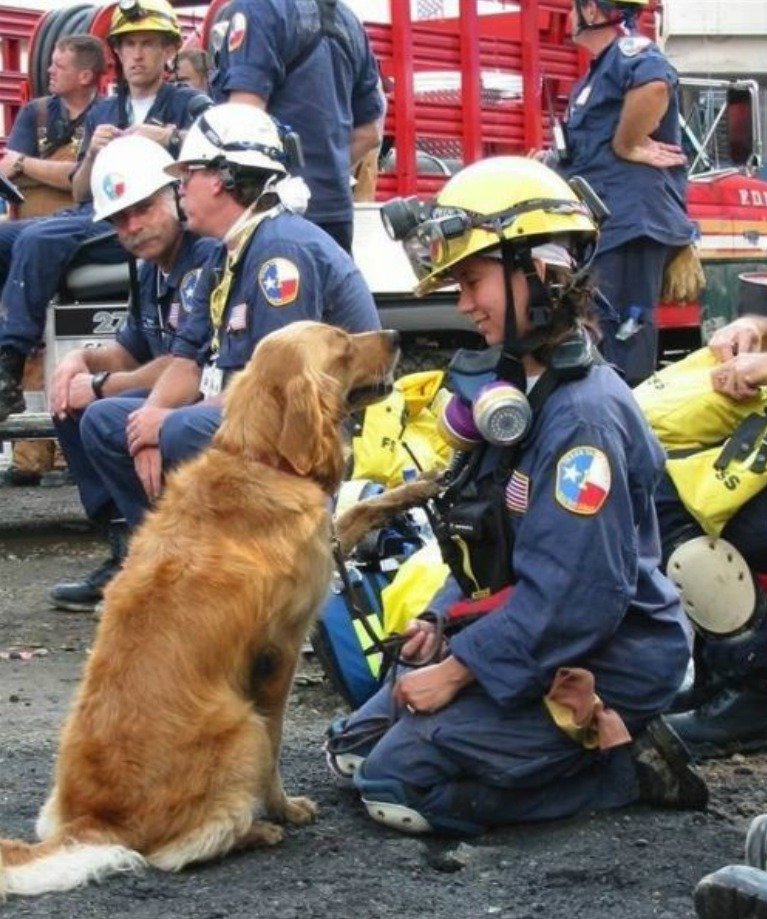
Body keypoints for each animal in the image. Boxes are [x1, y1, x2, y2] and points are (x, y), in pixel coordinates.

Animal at [0, 320, 400, 896]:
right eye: (344, 346)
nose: (395, 334)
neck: (260, 459)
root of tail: (94, 824)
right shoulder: (279, 652)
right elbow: (277, 743)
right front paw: (283, 808)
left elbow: (361, 509)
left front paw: (420, 487)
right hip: (240, 727)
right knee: (179, 850)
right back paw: (256, 830)